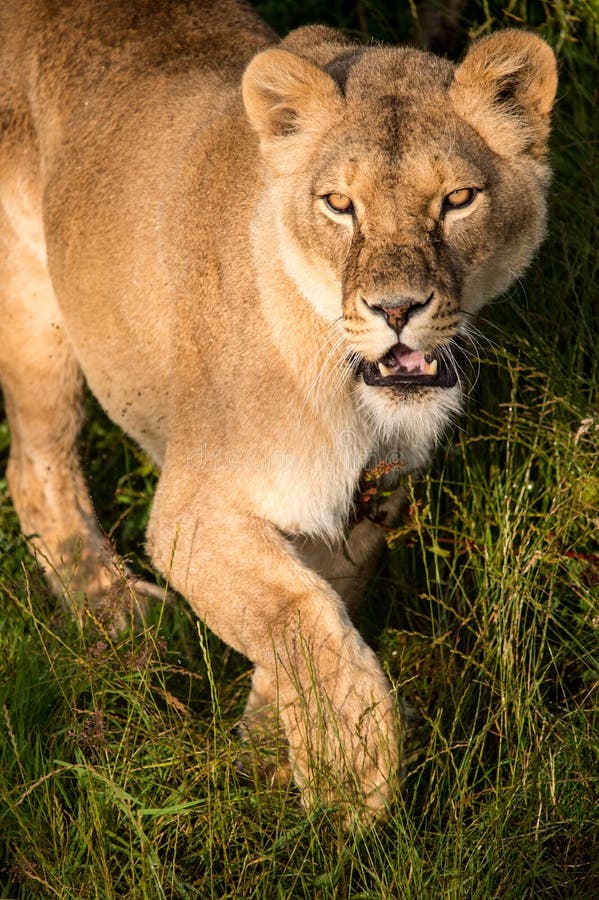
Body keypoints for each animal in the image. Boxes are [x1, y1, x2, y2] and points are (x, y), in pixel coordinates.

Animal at [0, 0, 556, 821]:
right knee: (35, 464)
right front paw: (347, 773)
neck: (352, 397)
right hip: (36, 305)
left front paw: (271, 744)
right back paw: (111, 605)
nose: (397, 310)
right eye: (339, 205)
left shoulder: (364, 503)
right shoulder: (191, 514)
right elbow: (296, 614)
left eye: (457, 200)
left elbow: (313, 603)